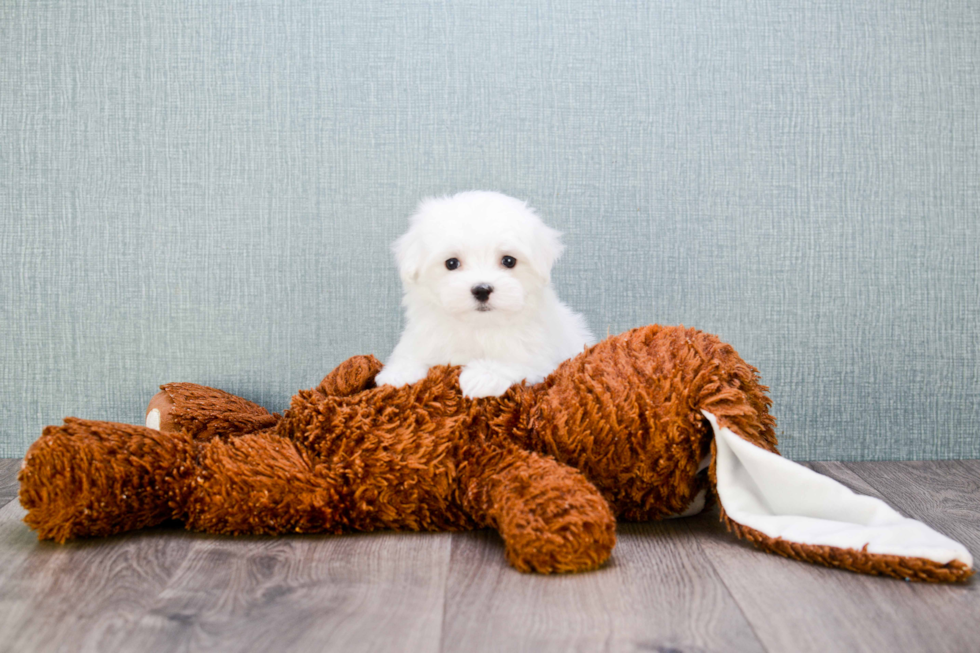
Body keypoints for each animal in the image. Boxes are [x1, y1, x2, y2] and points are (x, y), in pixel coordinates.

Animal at [374, 190, 588, 398]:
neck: (478, 327)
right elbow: (412, 354)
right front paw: (398, 374)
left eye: (509, 261)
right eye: (451, 263)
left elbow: (516, 359)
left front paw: (483, 376)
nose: (482, 289)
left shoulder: (540, 356)